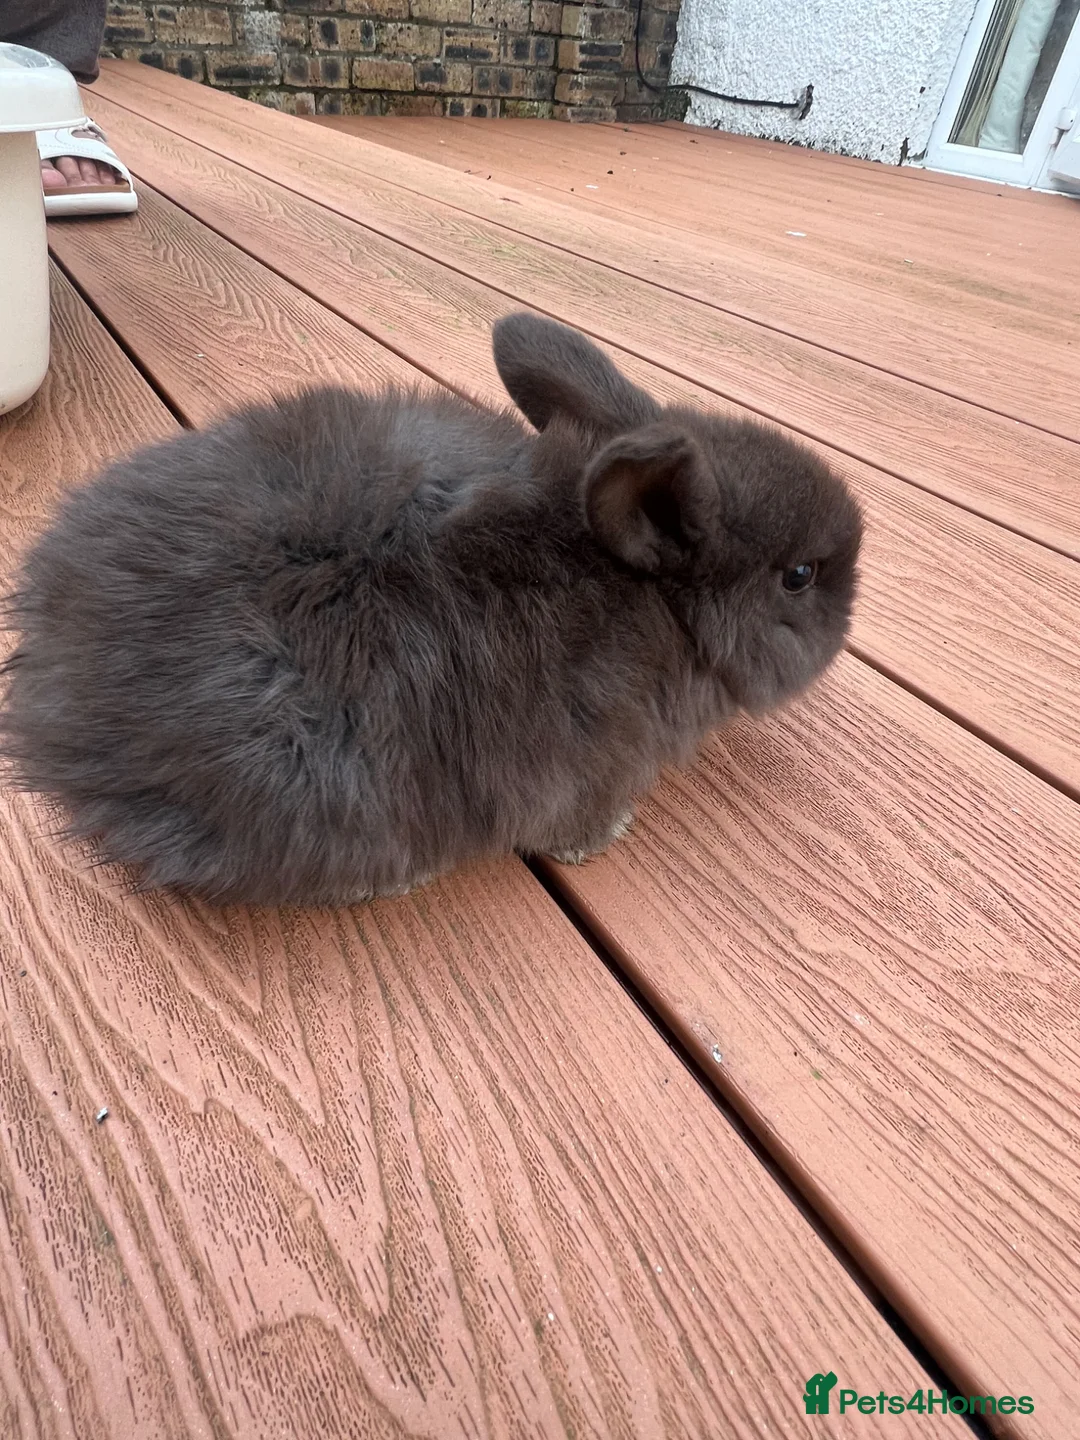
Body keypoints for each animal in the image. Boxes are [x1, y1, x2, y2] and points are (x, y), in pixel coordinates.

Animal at [0, 314, 862, 907]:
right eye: (800, 575)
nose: (854, 591)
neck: (653, 598)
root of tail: (52, 705)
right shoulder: (600, 760)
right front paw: (599, 843)